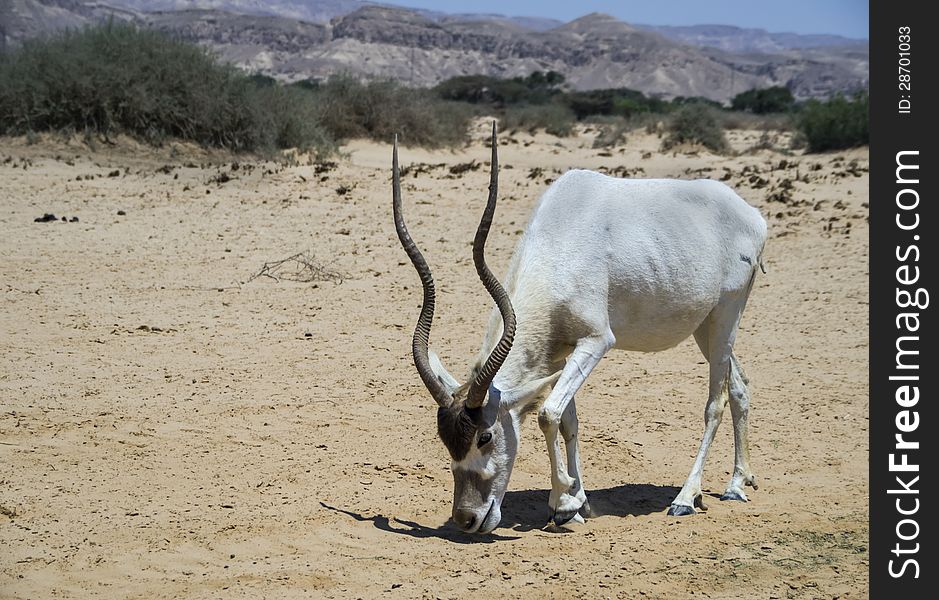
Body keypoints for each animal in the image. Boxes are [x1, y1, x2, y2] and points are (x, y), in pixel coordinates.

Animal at [392, 124, 768, 532]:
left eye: (486, 436)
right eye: (446, 440)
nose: (466, 518)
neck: (560, 242)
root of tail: (752, 216)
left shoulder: (596, 341)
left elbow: (548, 414)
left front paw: (563, 504)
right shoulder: (561, 351)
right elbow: (568, 420)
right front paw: (577, 501)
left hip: (727, 313)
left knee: (715, 402)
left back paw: (686, 498)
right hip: (706, 325)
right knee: (739, 384)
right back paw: (737, 484)